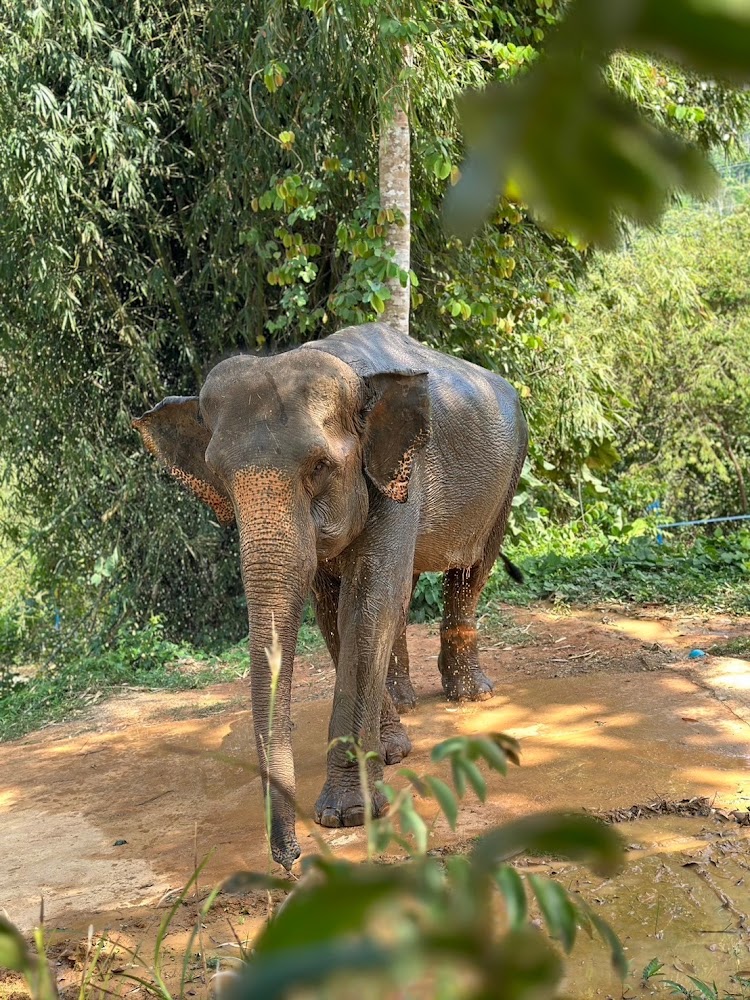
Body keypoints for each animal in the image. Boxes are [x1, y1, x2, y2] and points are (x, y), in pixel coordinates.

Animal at [133, 322, 528, 869]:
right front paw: (388, 754)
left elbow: (366, 603)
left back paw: (471, 695)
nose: (288, 858)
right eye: (219, 475)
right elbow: (334, 609)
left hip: (509, 475)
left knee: (470, 569)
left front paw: (348, 815)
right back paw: (403, 709)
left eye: (319, 466)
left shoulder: (401, 475)